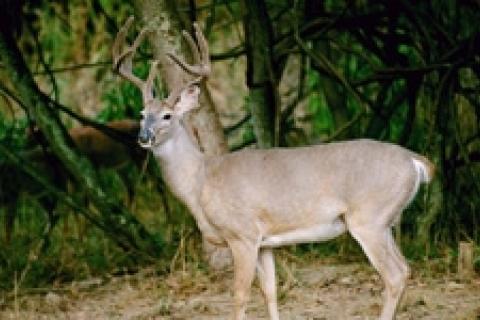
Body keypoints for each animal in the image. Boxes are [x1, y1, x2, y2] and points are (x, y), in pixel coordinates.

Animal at [113, 17, 436, 320]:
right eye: (142, 114)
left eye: (167, 116)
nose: (143, 137)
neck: (201, 181)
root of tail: (416, 161)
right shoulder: (264, 242)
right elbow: (270, 290)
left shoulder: (242, 234)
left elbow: (240, 295)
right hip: (384, 220)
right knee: (405, 269)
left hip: (368, 217)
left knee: (394, 274)